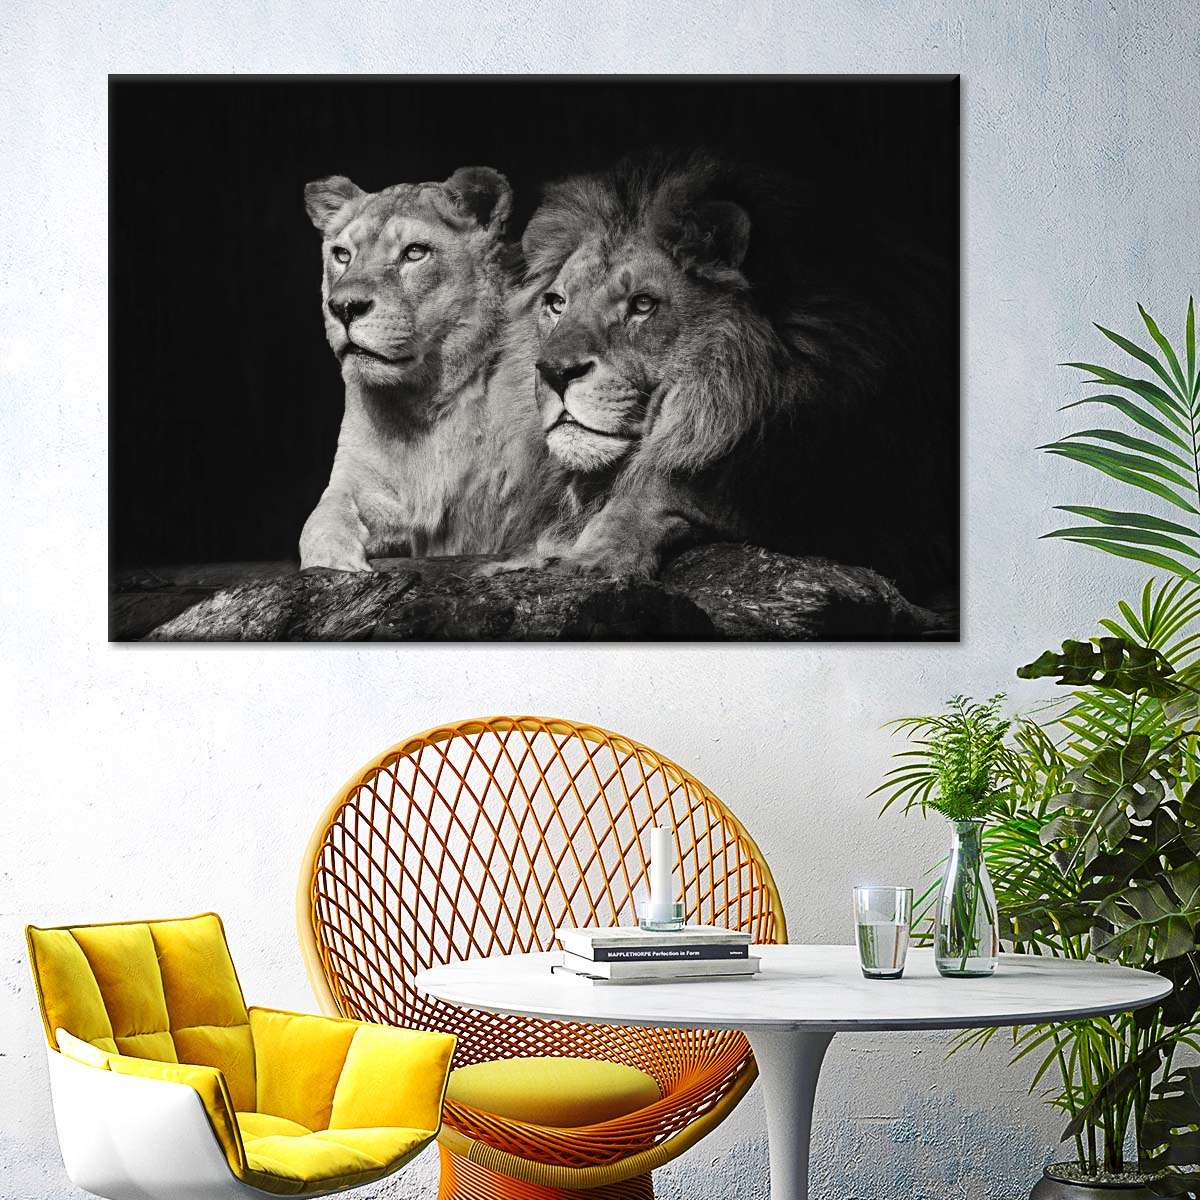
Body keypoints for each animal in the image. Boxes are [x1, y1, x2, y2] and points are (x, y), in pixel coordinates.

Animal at [299, 166, 553, 571]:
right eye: (342, 255)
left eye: (415, 252)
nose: (343, 307)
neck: (425, 401)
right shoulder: (358, 479)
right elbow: (320, 520)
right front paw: (335, 561)